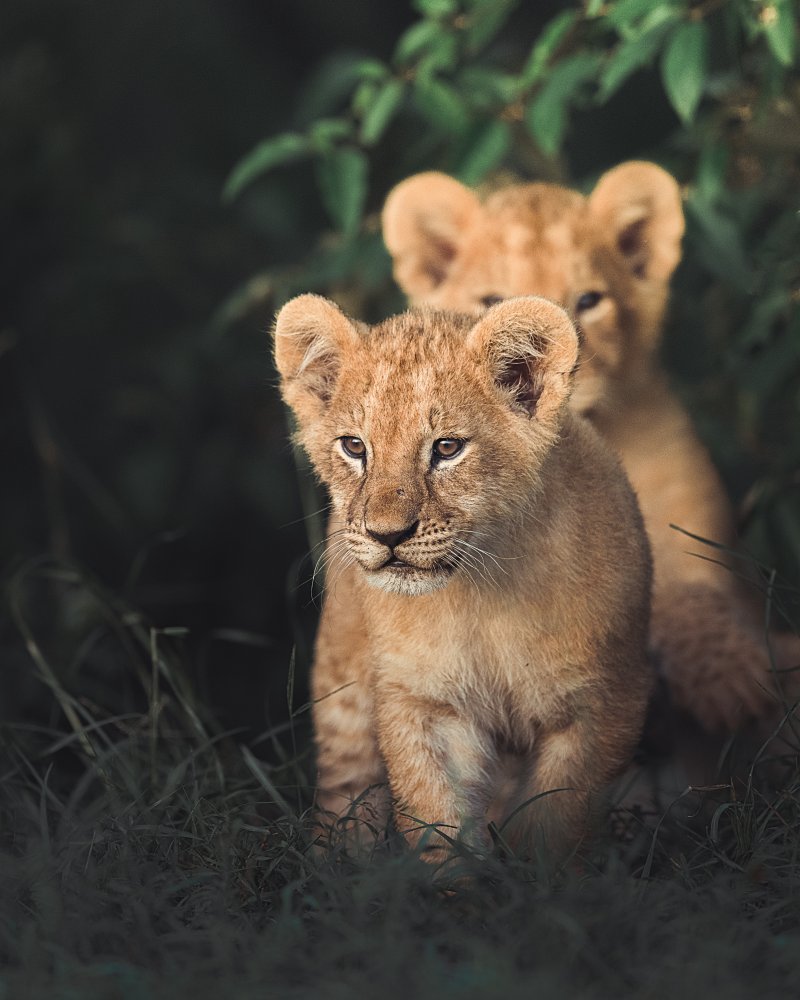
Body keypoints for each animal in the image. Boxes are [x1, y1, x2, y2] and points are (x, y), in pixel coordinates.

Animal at [273, 293, 653, 863]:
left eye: (447, 448)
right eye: (355, 447)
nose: (387, 535)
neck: (483, 594)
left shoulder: (602, 704)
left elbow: (556, 823)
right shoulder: (423, 703)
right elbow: (437, 823)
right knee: (346, 794)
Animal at [382, 162, 799, 736]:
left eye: (588, 301)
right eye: (491, 302)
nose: (538, 368)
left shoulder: (681, 517)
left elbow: (689, 592)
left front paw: (732, 678)